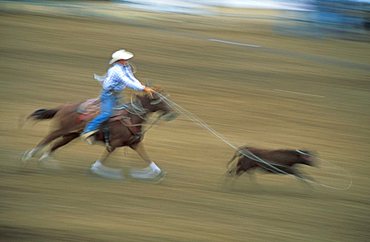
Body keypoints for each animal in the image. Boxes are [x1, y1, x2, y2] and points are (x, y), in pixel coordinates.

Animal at [21, 92, 178, 180]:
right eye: (160, 100)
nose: (173, 113)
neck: (131, 118)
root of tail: (63, 107)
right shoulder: (114, 144)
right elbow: (103, 158)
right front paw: (97, 170)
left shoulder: (134, 143)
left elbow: (146, 157)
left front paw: (158, 173)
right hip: (60, 130)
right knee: (47, 139)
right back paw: (27, 157)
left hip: (70, 135)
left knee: (54, 145)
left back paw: (46, 162)